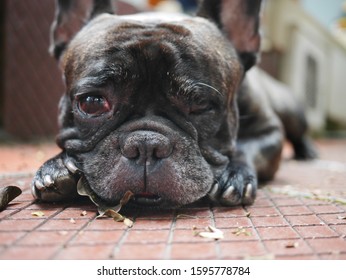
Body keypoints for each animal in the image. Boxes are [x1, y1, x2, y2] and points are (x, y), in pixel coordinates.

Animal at [31, 0, 316, 208]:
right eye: (92, 102)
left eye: (201, 104)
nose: (146, 145)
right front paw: (57, 167)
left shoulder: (269, 131)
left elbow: (245, 148)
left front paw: (233, 174)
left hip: (293, 112)